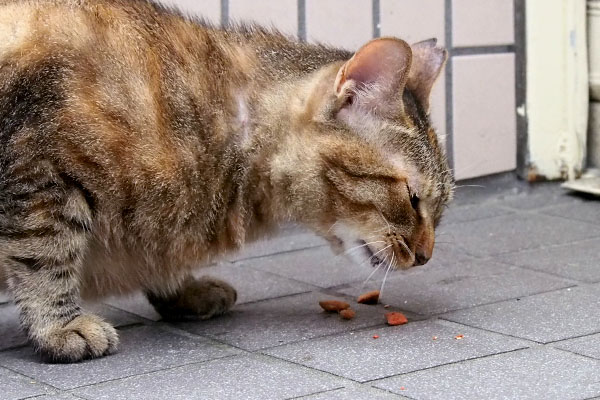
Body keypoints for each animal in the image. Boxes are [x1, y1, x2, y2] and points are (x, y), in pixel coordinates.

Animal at [0, 0, 450, 362]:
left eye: (440, 208)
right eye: (412, 197)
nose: (426, 256)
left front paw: (181, 289)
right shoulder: (39, 175)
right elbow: (46, 257)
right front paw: (59, 326)